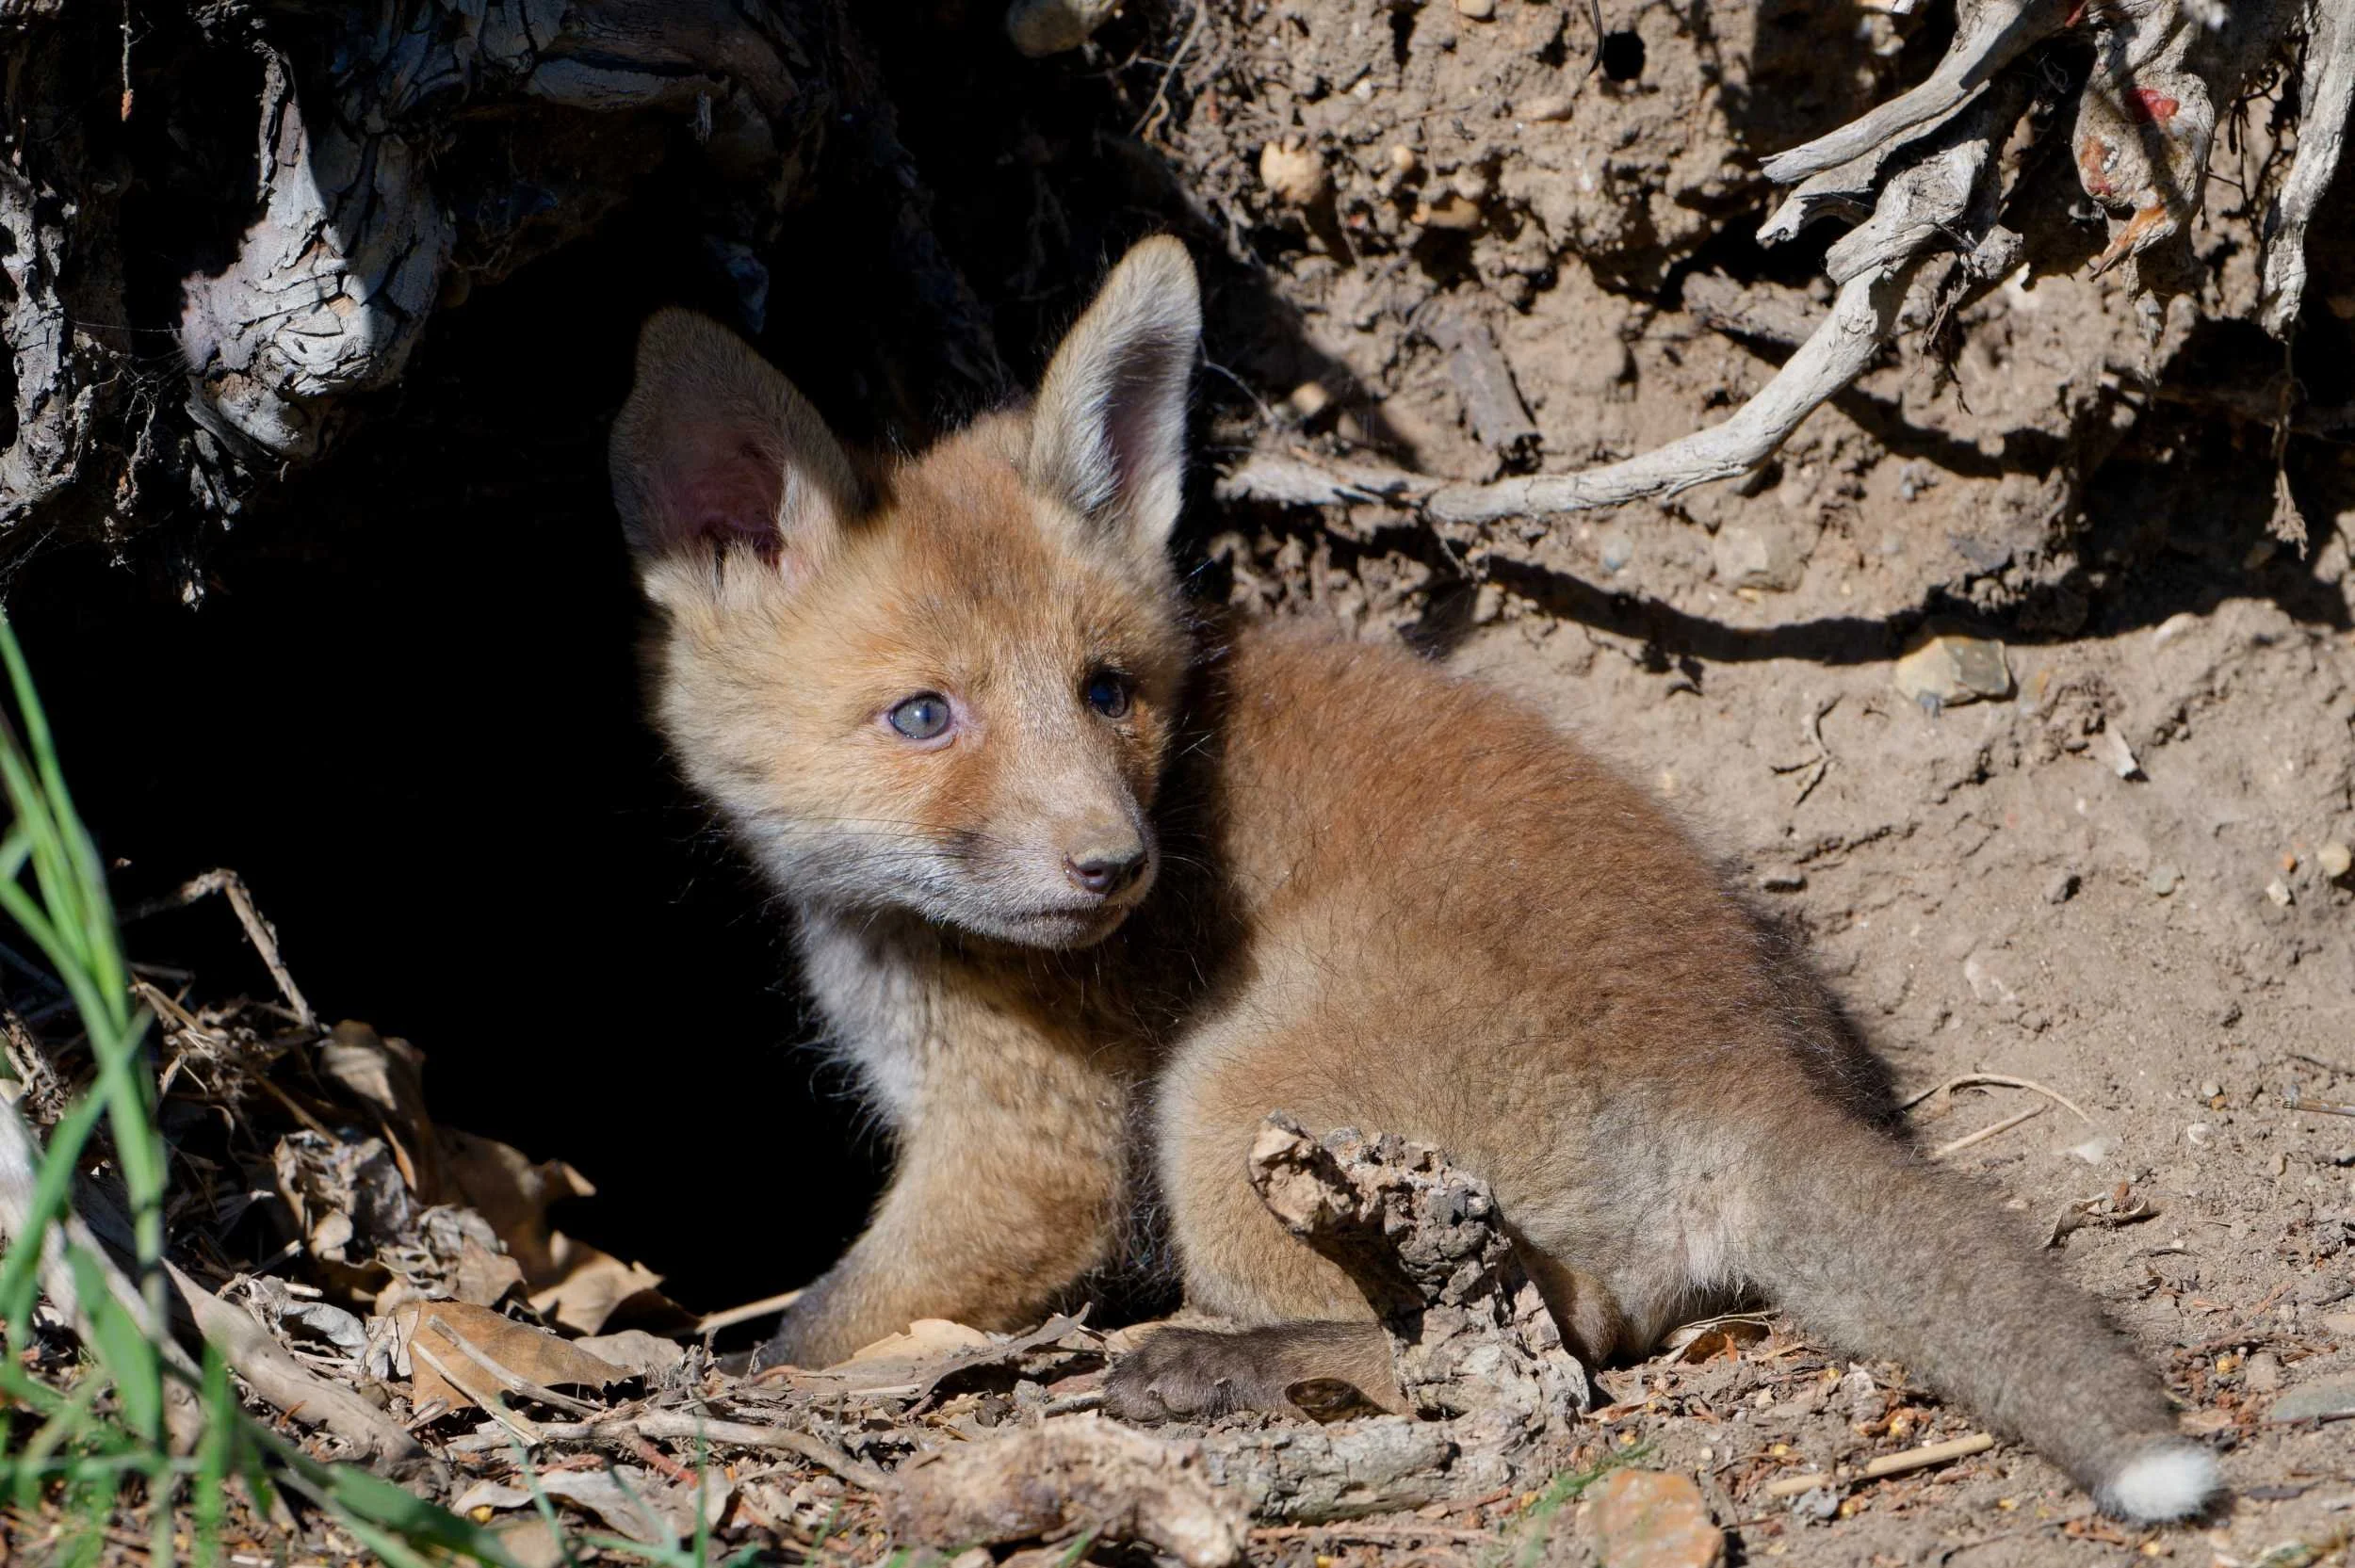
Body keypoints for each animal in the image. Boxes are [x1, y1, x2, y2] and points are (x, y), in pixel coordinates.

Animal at [608, 236, 2223, 1524]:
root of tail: (1756, 1084)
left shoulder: (1028, 1159)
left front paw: (729, 1375)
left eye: (1106, 689)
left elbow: (814, 1332)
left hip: (1224, 1094)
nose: (1116, 865)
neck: (896, 941)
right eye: (924, 717)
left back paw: (1200, 1366)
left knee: (1517, 1333)